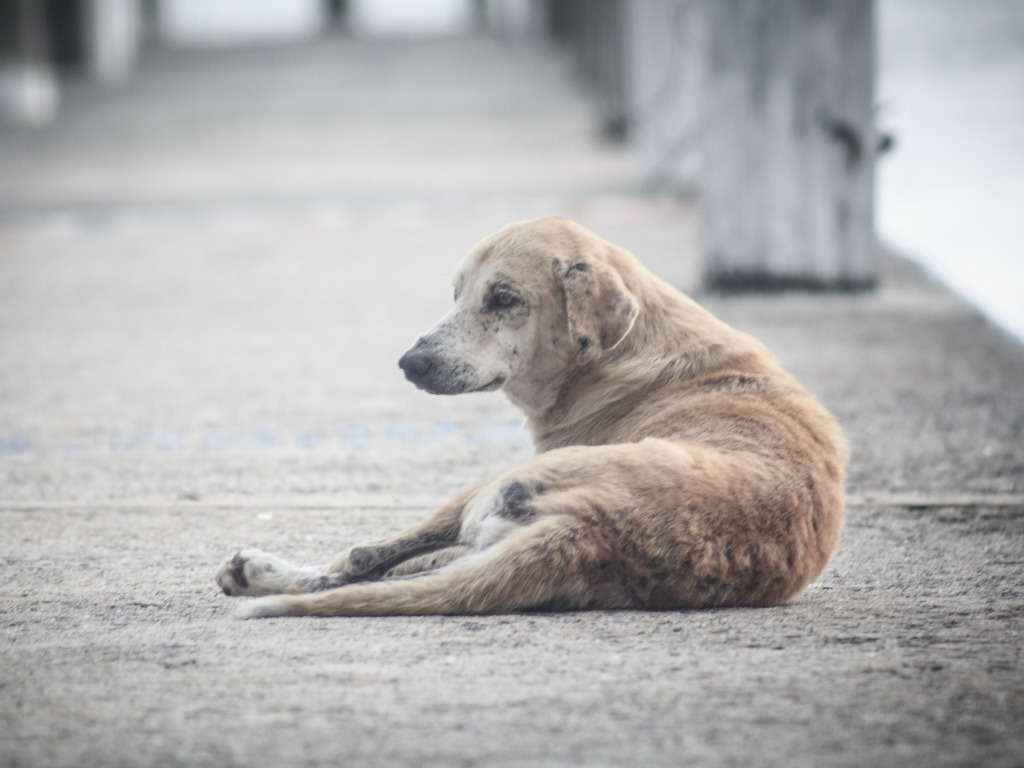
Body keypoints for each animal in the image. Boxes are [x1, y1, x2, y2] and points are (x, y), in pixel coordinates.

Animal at [211, 217, 843, 618]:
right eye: (458, 293)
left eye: (504, 298)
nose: (410, 363)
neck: (626, 351)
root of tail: (592, 530)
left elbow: (369, 558)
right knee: (406, 572)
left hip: (488, 489)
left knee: (362, 563)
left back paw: (259, 574)